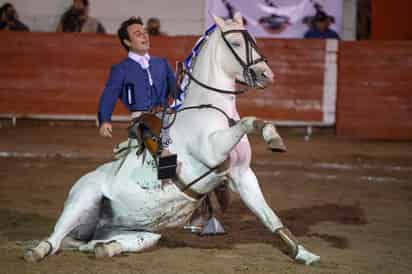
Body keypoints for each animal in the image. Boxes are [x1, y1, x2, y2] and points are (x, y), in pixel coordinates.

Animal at [24, 13, 320, 266]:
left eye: (254, 41)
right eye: (236, 42)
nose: (266, 75)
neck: (213, 109)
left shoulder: (242, 174)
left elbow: (269, 216)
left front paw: (303, 253)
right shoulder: (213, 150)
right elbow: (249, 121)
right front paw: (274, 138)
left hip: (144, 233)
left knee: (96, 244)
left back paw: (106, 248)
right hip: (82, 199)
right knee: (55, 238)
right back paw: (35, 252)